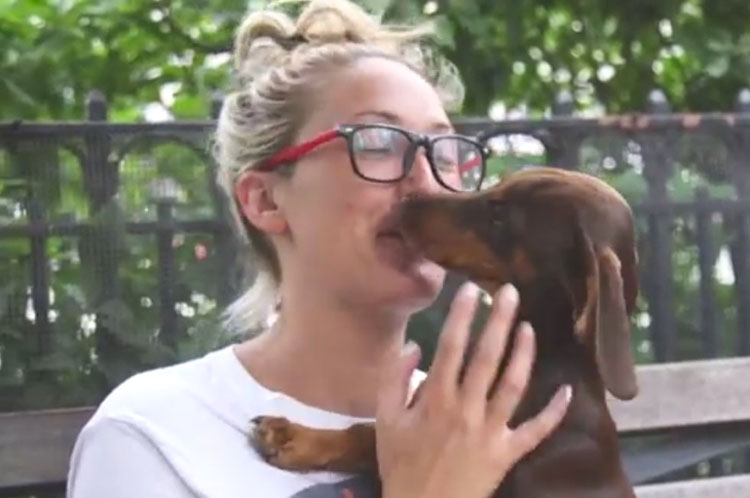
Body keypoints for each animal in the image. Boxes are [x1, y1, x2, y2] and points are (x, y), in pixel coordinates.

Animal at [251, 167, 639, 498]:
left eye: (498, 215)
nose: (408, 200)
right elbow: (368, 434)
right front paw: (293, 436)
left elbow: (374, 442)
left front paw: (293, 438)